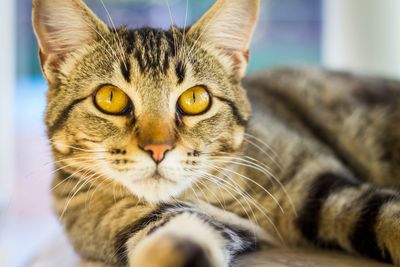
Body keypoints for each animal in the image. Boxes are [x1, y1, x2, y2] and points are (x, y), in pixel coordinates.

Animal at [32, 0, 400, 266]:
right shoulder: (130, 220)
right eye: (110, 98)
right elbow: (177, 237)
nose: (158, 148)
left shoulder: (316, 183)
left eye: (196, 99)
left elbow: (385, 214)